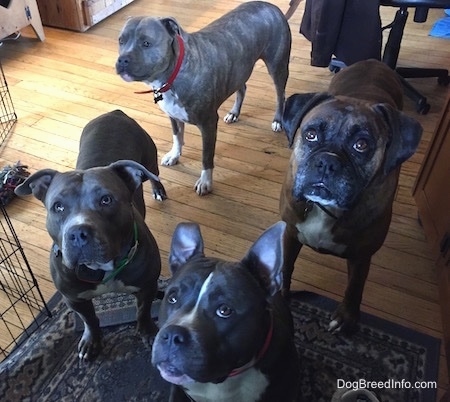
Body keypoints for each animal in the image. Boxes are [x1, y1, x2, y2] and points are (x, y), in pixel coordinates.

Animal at [15, 110, 168, 362]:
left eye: (106, 200)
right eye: (58, 207)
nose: (77, 233)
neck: (101, 269)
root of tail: (115, 113)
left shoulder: (147, 286)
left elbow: (143, 312)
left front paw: (148, 333)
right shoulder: (74, 298)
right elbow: (90, 319)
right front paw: (91, 341)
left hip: (149, 161)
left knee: (155, 175)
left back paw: (158, 190)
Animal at [116, 0, 292, 195]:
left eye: (146, 43)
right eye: (121, 41)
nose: (122, 60)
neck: (172, 75)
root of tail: (271, 6)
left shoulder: (208, 124)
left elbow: (206, 156)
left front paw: (205, 182)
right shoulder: (173, 116)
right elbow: (177, 136)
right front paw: (174, 155)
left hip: (277, 66)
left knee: (280, 95)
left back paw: (277, 120)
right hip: (239, 69)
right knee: (242, 88)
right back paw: (234, 113)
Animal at [280, 59, 424, 332]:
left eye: (361, 145)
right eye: (311, 135)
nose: (327, 162)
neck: (324, 209)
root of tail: (374, 61)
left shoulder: (362, 255)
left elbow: (356, 284)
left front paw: (346, 316)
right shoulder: (290, 233)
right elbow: (285, 267)